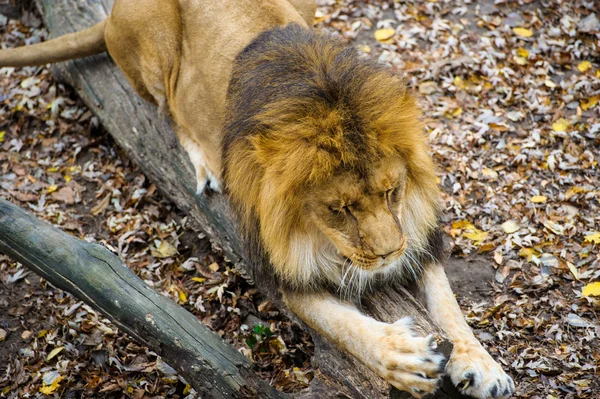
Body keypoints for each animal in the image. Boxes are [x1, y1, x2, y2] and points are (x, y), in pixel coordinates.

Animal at [0, 1, 516, 398]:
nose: (390, 254)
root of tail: (113, 14)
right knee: (170, 110)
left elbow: (447, 304)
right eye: (340, 210)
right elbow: (346, 327)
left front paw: (483, 365)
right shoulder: (279, 268)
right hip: (157, 46)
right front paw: (404, 358)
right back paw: (205, 166)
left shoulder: (418, 234)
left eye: (392, 191)